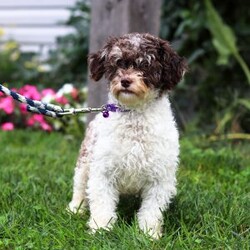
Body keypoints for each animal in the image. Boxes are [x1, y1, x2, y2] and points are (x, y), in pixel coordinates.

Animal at [67, 32, 187, 238]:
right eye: (118, 63)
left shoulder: (160, 177)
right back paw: (76, 208)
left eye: (146, 65)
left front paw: (149, 234)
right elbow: (102, 203)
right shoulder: (103, 170)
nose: (125, 81)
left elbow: (152, 210)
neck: (134, 117)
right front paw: (100, 228)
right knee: (80, 187)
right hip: (84, 162)